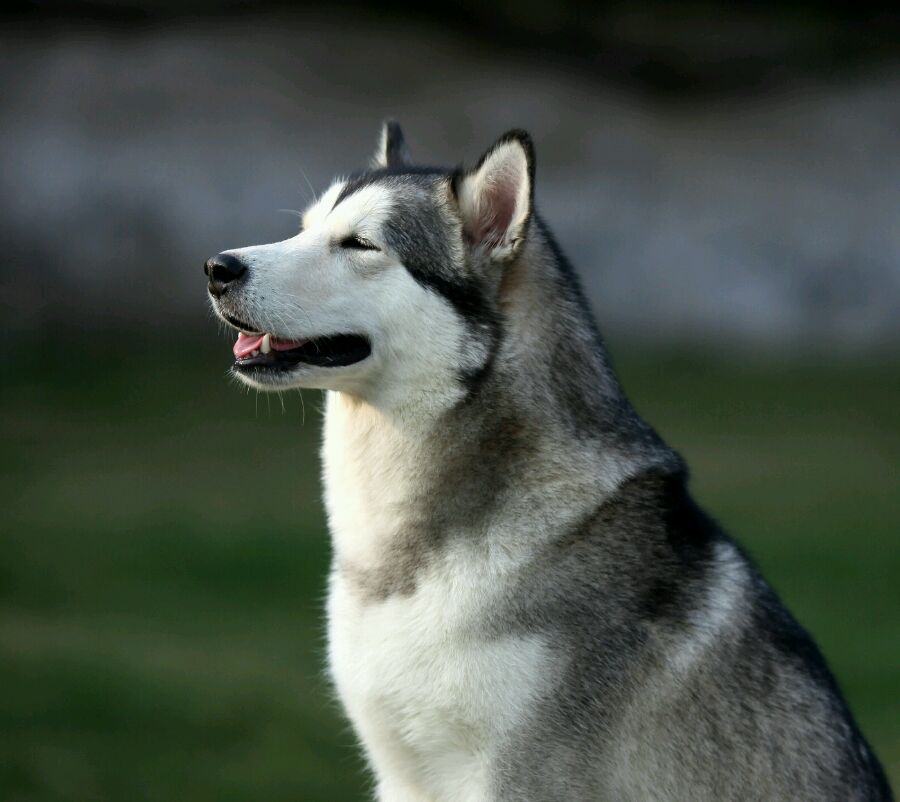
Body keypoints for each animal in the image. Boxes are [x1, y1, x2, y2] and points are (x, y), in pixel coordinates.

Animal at [204, 123, 893, 801]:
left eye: (360, 244)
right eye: (303, 228)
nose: (217, 267)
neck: (400, 563)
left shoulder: (527, 775)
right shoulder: (401, 773)